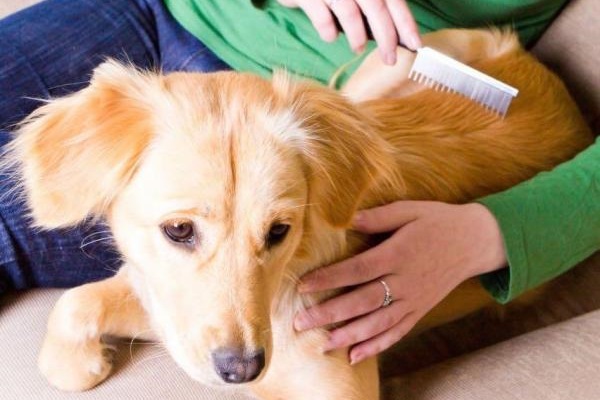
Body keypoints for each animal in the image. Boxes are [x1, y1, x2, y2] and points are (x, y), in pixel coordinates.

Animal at [0, 28, 592, 400]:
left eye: (280, 231)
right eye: (178, 230)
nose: (241, 370)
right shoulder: (166, 304)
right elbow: (75, 302)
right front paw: (78, 364)